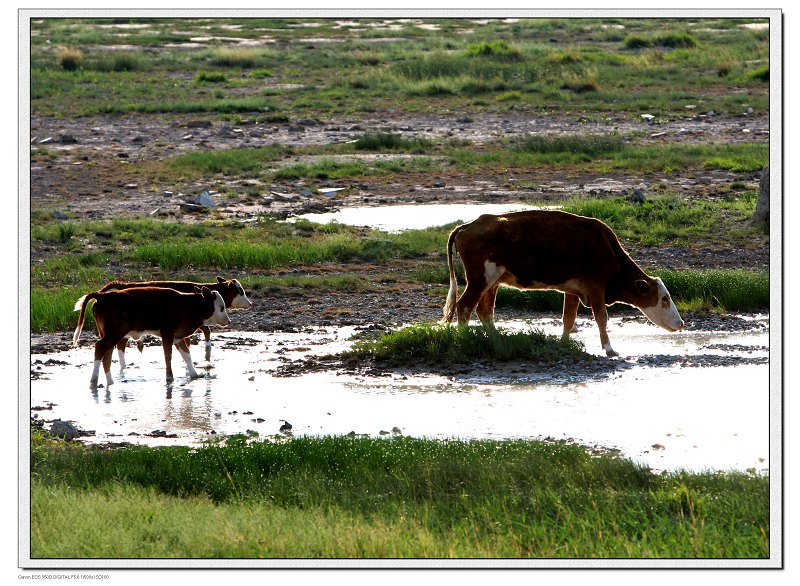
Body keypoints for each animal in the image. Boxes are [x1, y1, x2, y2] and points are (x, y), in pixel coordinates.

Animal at [72, 284, 231, 388]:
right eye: (221, 307)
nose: (228, 321)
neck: (187, 306)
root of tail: (103, 296)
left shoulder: (178, 336)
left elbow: (187, 356)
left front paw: (194, 375)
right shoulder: (167, 334)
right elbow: (168, 357)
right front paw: (169, 378)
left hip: (109, 334)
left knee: (107, 353)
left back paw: (110, 382)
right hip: (114, 333)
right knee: (100, 347)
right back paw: (94, 381)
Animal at [440, 210, 684, 356]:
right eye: (664, 298)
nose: (681, 323)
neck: (606, 248)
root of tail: (469, 225)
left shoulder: (575, 289)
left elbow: (569, 317)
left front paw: (565, 342)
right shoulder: (595, 286)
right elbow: (601, 317)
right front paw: (609, 349)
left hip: (493, 281)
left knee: (484, 310)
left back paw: (497, 340)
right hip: (480, 279)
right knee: (465, 306)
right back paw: (465, 339)